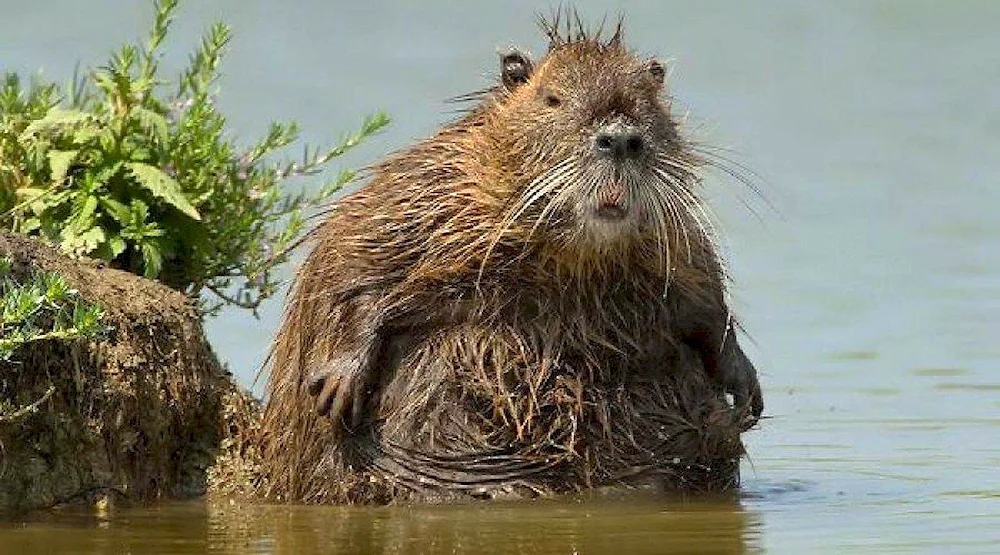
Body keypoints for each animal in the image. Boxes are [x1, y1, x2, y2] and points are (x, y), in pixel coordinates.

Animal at [254, 16, 760, 504]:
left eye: (649, 102)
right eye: (551, 97)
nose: (619, 141)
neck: (574, 260)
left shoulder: (675, 239)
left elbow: (703, 295)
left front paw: (746, 388)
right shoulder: (429, 186)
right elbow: (358, 252)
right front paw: (338, 385)